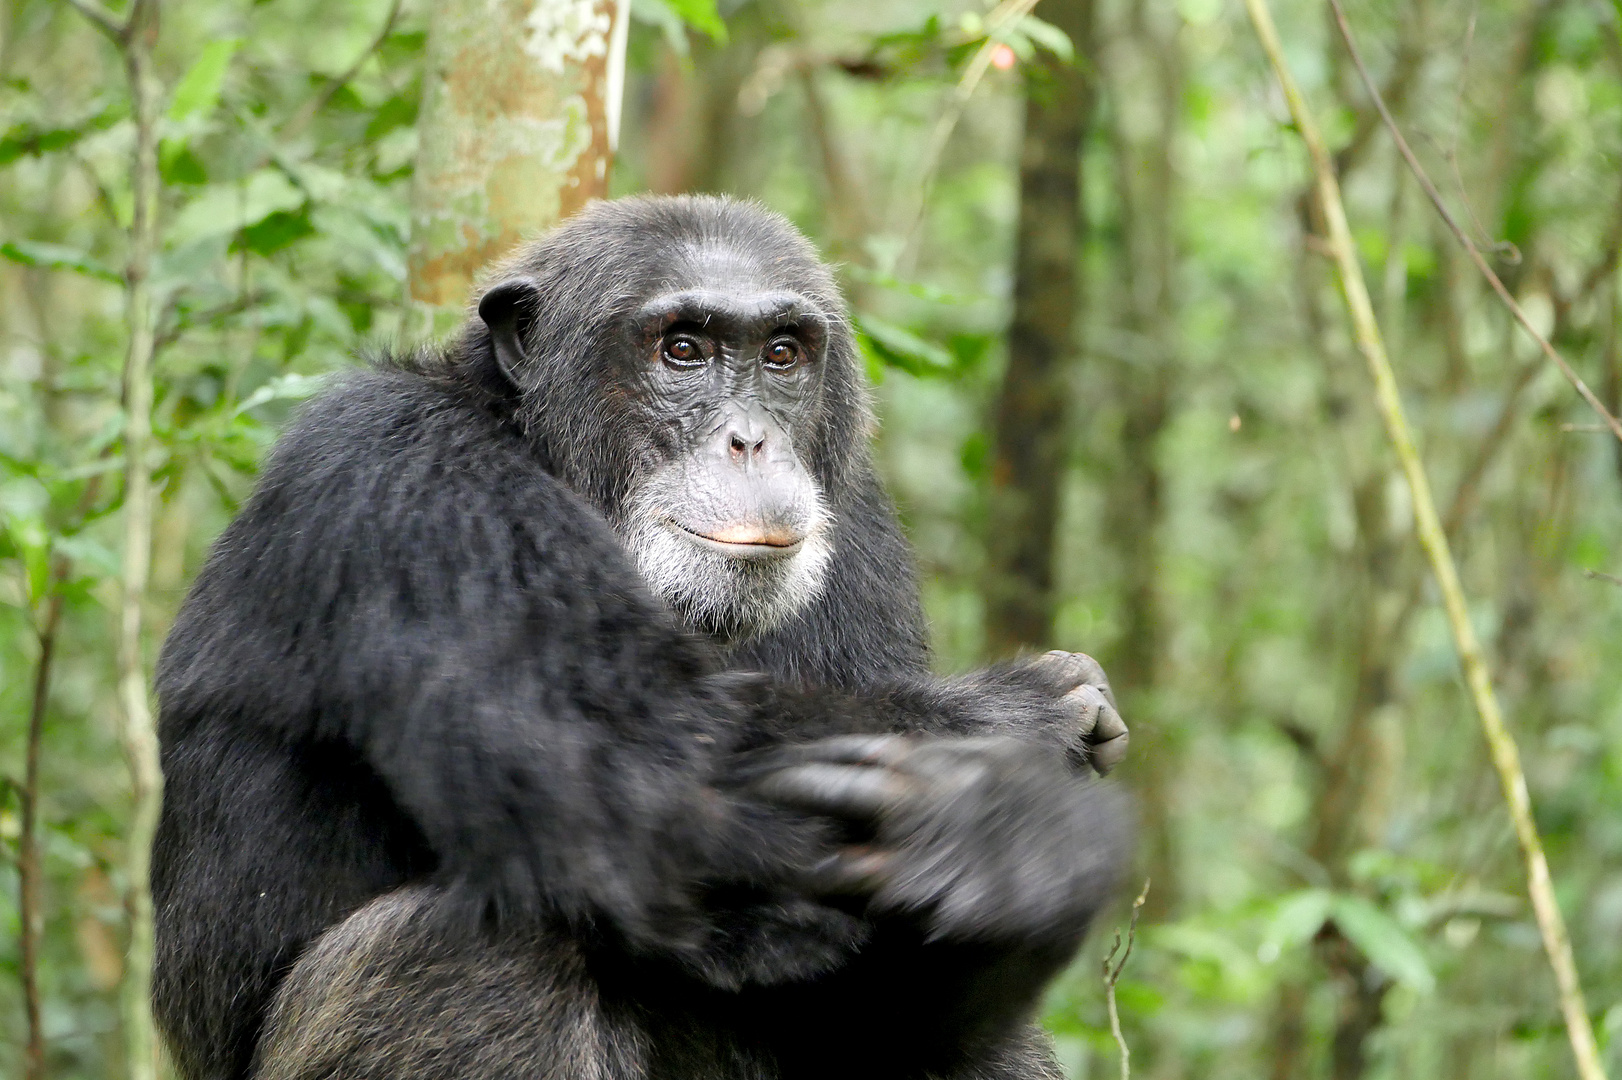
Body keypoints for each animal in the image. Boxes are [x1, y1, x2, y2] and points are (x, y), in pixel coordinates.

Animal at [154, 195, 1128, 1076]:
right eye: (683, 350)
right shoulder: (402, 475)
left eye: (782, 354)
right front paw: (1017, 762)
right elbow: (649, 774)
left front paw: (1010, 845)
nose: (749, 439)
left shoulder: (862, 530)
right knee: (475, 951)